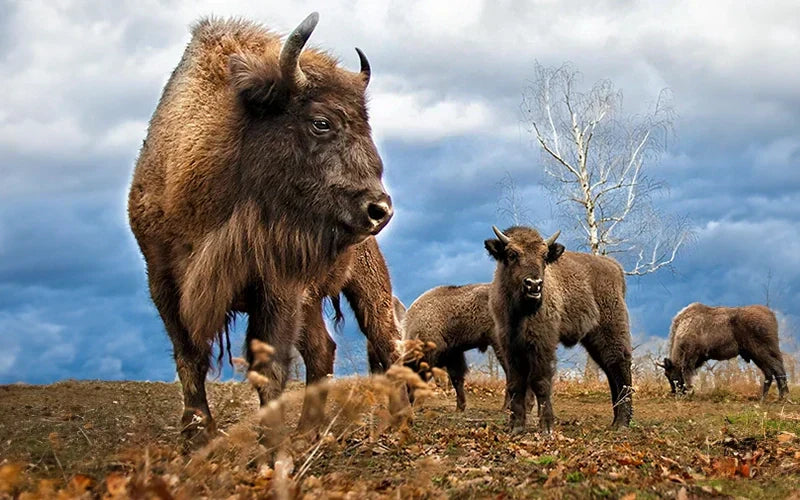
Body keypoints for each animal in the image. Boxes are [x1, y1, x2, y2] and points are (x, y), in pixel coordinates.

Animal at [128, 13, 393, 440]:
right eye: (322, 122)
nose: (379, 209)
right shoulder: (164, 281)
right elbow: (189, 355)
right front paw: (198, 431)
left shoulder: (278, 287)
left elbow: (269, 366)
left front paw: (271, 440)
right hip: (312, 302)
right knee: (322, 350)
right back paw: (308, 430)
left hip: (366, 284)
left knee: (386, 340)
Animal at [485, 226, 633, 433]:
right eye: (512, 254)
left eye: (544, 255)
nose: (534, 284)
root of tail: (615, 267)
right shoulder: (510, 346)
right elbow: (515, 384)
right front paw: (516, 427)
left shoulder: (543, 344)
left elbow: (540, 382)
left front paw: (547, 428)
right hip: (594, 340)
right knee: (610, 369)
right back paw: (615, 421)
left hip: (611, 331)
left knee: (620, 365)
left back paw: (622, 423)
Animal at [660, 303, 788, 400]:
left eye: (671, 375)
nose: (675, 393)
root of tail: (771, 314)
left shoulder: (690, 358)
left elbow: (688, 374)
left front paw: (690, 392)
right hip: (756, 355)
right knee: (770, 372)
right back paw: (765, 398)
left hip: (761, 351)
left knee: (777, 368)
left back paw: (783, 397)